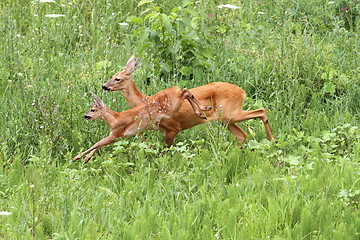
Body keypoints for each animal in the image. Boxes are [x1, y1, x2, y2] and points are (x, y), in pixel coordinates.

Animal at [73, 89, 211, 162]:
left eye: (93, 110)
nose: (85, 116)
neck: (114, 119)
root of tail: (174, 89)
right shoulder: (116, 136)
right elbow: (98, 145)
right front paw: (86, 159)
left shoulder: (116, 133)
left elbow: (97, 143)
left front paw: (76, 158)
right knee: (186, 91)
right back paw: (203, 112)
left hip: (173, 106)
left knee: (185, 92)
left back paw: (202, 111)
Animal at [102, 55, 274, 147]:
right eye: (112, 76)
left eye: (117, 79)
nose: (104, 86)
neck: (145, 100)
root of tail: (242, 92)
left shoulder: (173, 128)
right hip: (226, 119)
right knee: (242, 135)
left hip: (231, 113)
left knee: (261, 111)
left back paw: (272, 140)